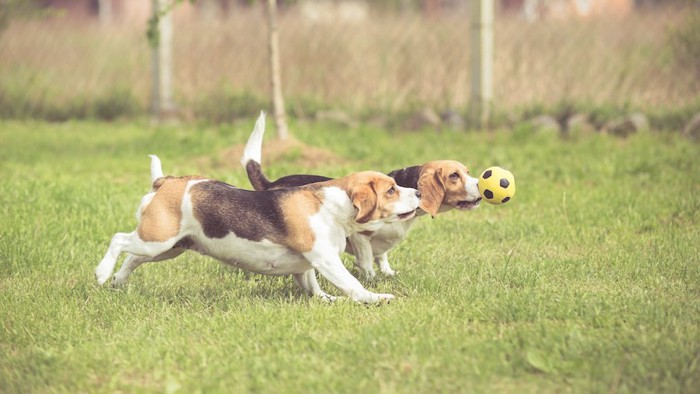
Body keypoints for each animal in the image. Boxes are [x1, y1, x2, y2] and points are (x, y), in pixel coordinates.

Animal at [95, 154, 418, 304]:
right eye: (391, 190)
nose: (417, 192)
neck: (333, 204)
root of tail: (166, 181)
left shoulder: (307, 264)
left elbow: (312, 286)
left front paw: (325, 300)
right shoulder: (325, 259)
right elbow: (352, 284)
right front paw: (374, 298)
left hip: (167, 246)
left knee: (131, 258)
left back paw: (117, 282)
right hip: (157, 241)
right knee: (118, 240)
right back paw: (101, 273)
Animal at [242, 111, 482, 278]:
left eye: (468, 172)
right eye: (454, 175)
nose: (481, 186)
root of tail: (271, 184)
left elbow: (382, 257)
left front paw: (387, 273)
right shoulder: (361, 237)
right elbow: (366, 261)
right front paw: (371, 279)